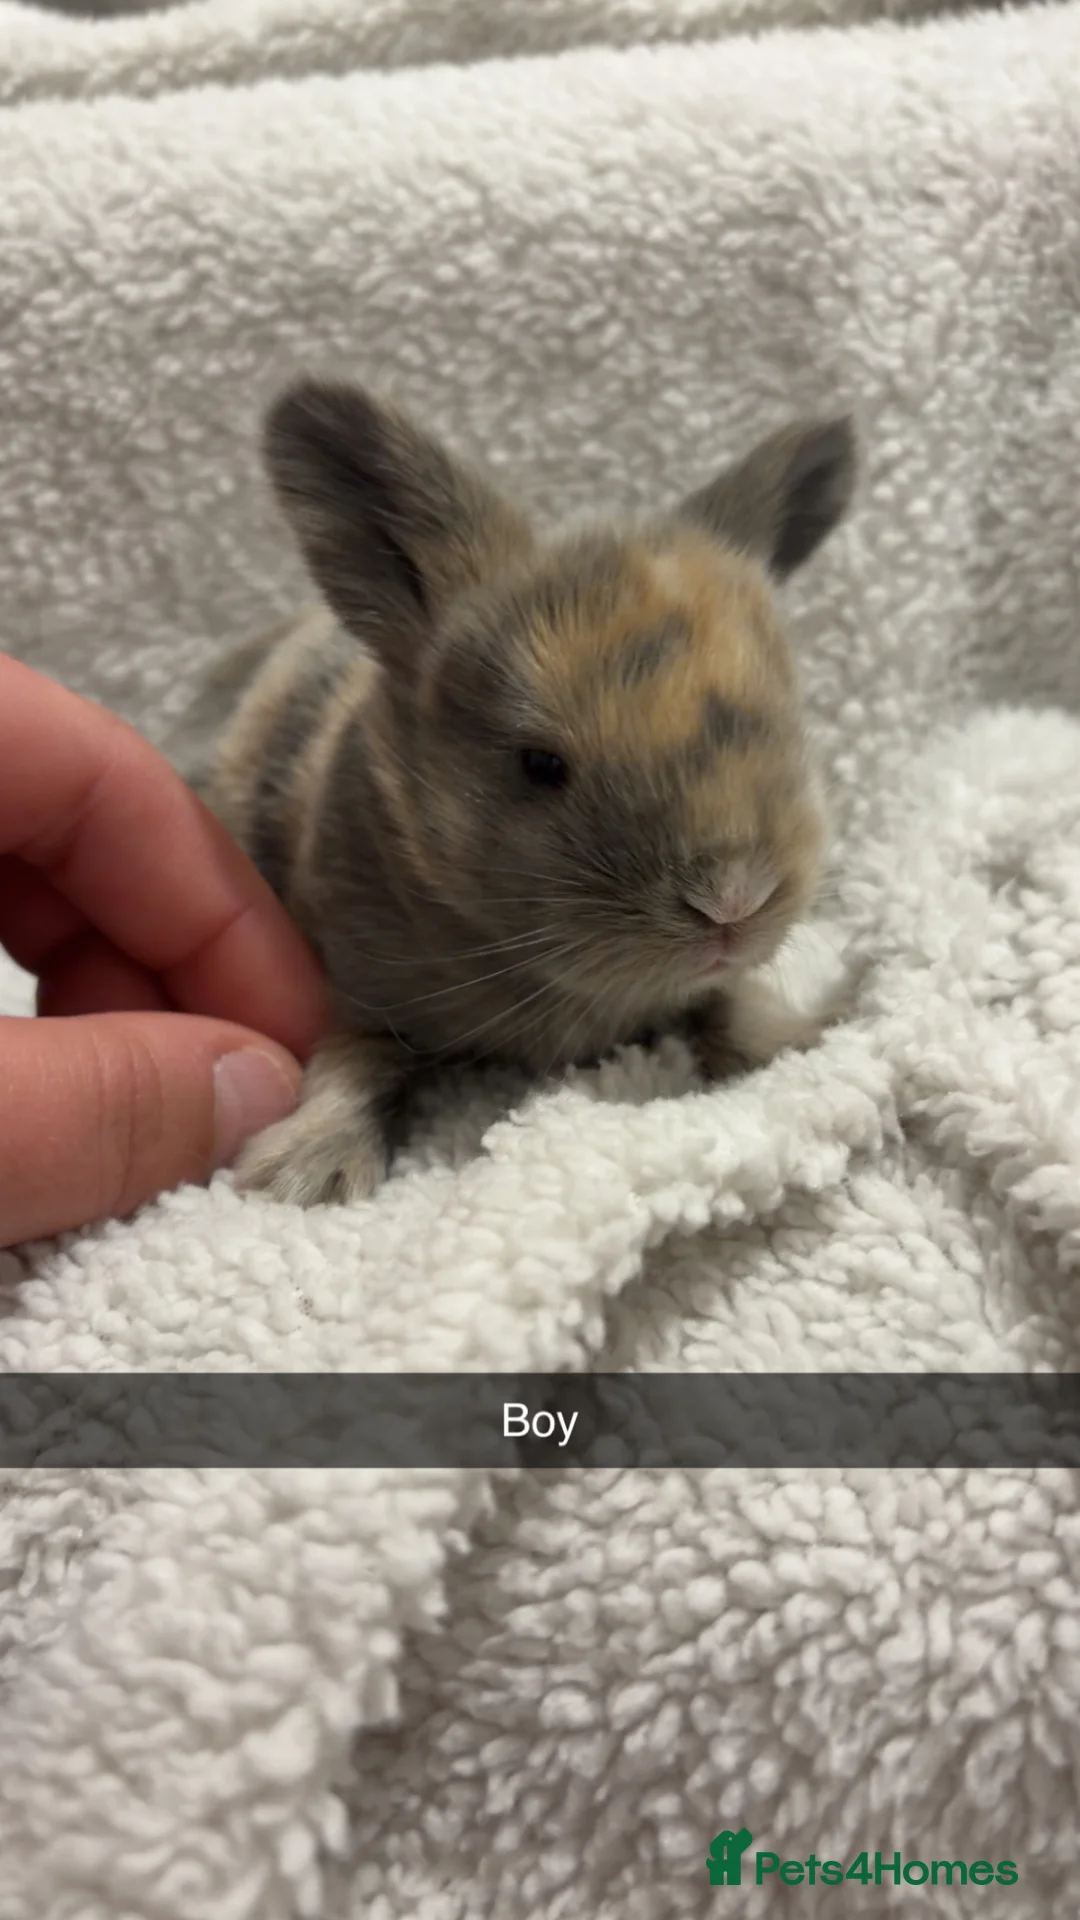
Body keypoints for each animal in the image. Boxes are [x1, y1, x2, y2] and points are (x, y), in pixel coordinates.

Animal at [189, 379, 855, 1206]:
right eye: (539, 765)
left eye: (791, 726)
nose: (732, 902)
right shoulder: (357, 994)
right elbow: (355, 1064)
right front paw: (306, 1173)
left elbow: (730, 1007)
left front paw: (800, 1037)